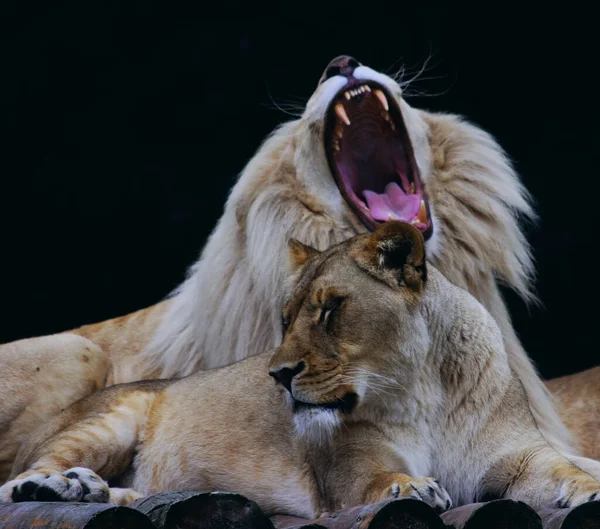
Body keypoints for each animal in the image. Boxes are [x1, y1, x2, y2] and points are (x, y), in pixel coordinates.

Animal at [1, 223, 600, 516]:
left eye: (331, 309)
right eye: (285, 319)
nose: (278, 375)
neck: (424, 394)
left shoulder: (517, 459)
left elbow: (564, 470)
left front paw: (589, 488)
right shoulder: (350, 471)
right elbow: (382, 478)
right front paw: (411, 489)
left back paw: (103, 494)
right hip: (107, 410)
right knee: (15, 480)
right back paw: (65, 486)